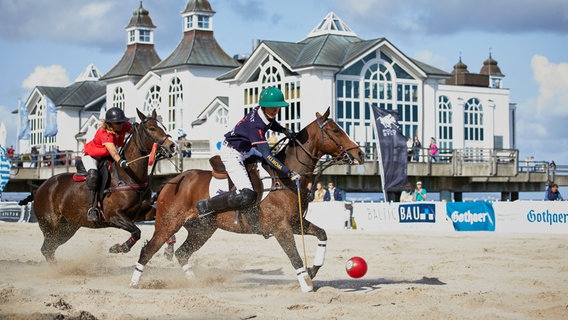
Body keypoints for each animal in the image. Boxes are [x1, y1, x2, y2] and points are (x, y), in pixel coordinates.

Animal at [25, 109, 175, 262]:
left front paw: (169, 249)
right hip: (50, 225)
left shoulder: (142, 213)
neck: (129, 175)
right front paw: (119, 248)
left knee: (50, 248)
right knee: (47, 249)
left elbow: (165, 225)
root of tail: (39, 189)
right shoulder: (114, 216)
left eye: (163, 127)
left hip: (68, 227)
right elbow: (136, 231)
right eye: (152, 128)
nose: (172, 146)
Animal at [130, 106, 364, 292]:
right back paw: (134, 283)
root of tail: (171, 182)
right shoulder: (281, 228)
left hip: (202, 230)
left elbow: (322, 234)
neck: (285, 176)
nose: (360, 154)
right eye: (336, 130)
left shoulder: (296, 222)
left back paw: (195, 283)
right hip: (167, 224)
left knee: (181, 253)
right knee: (148, 250)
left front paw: (313, 269)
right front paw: (306, 283)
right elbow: (294, 256)